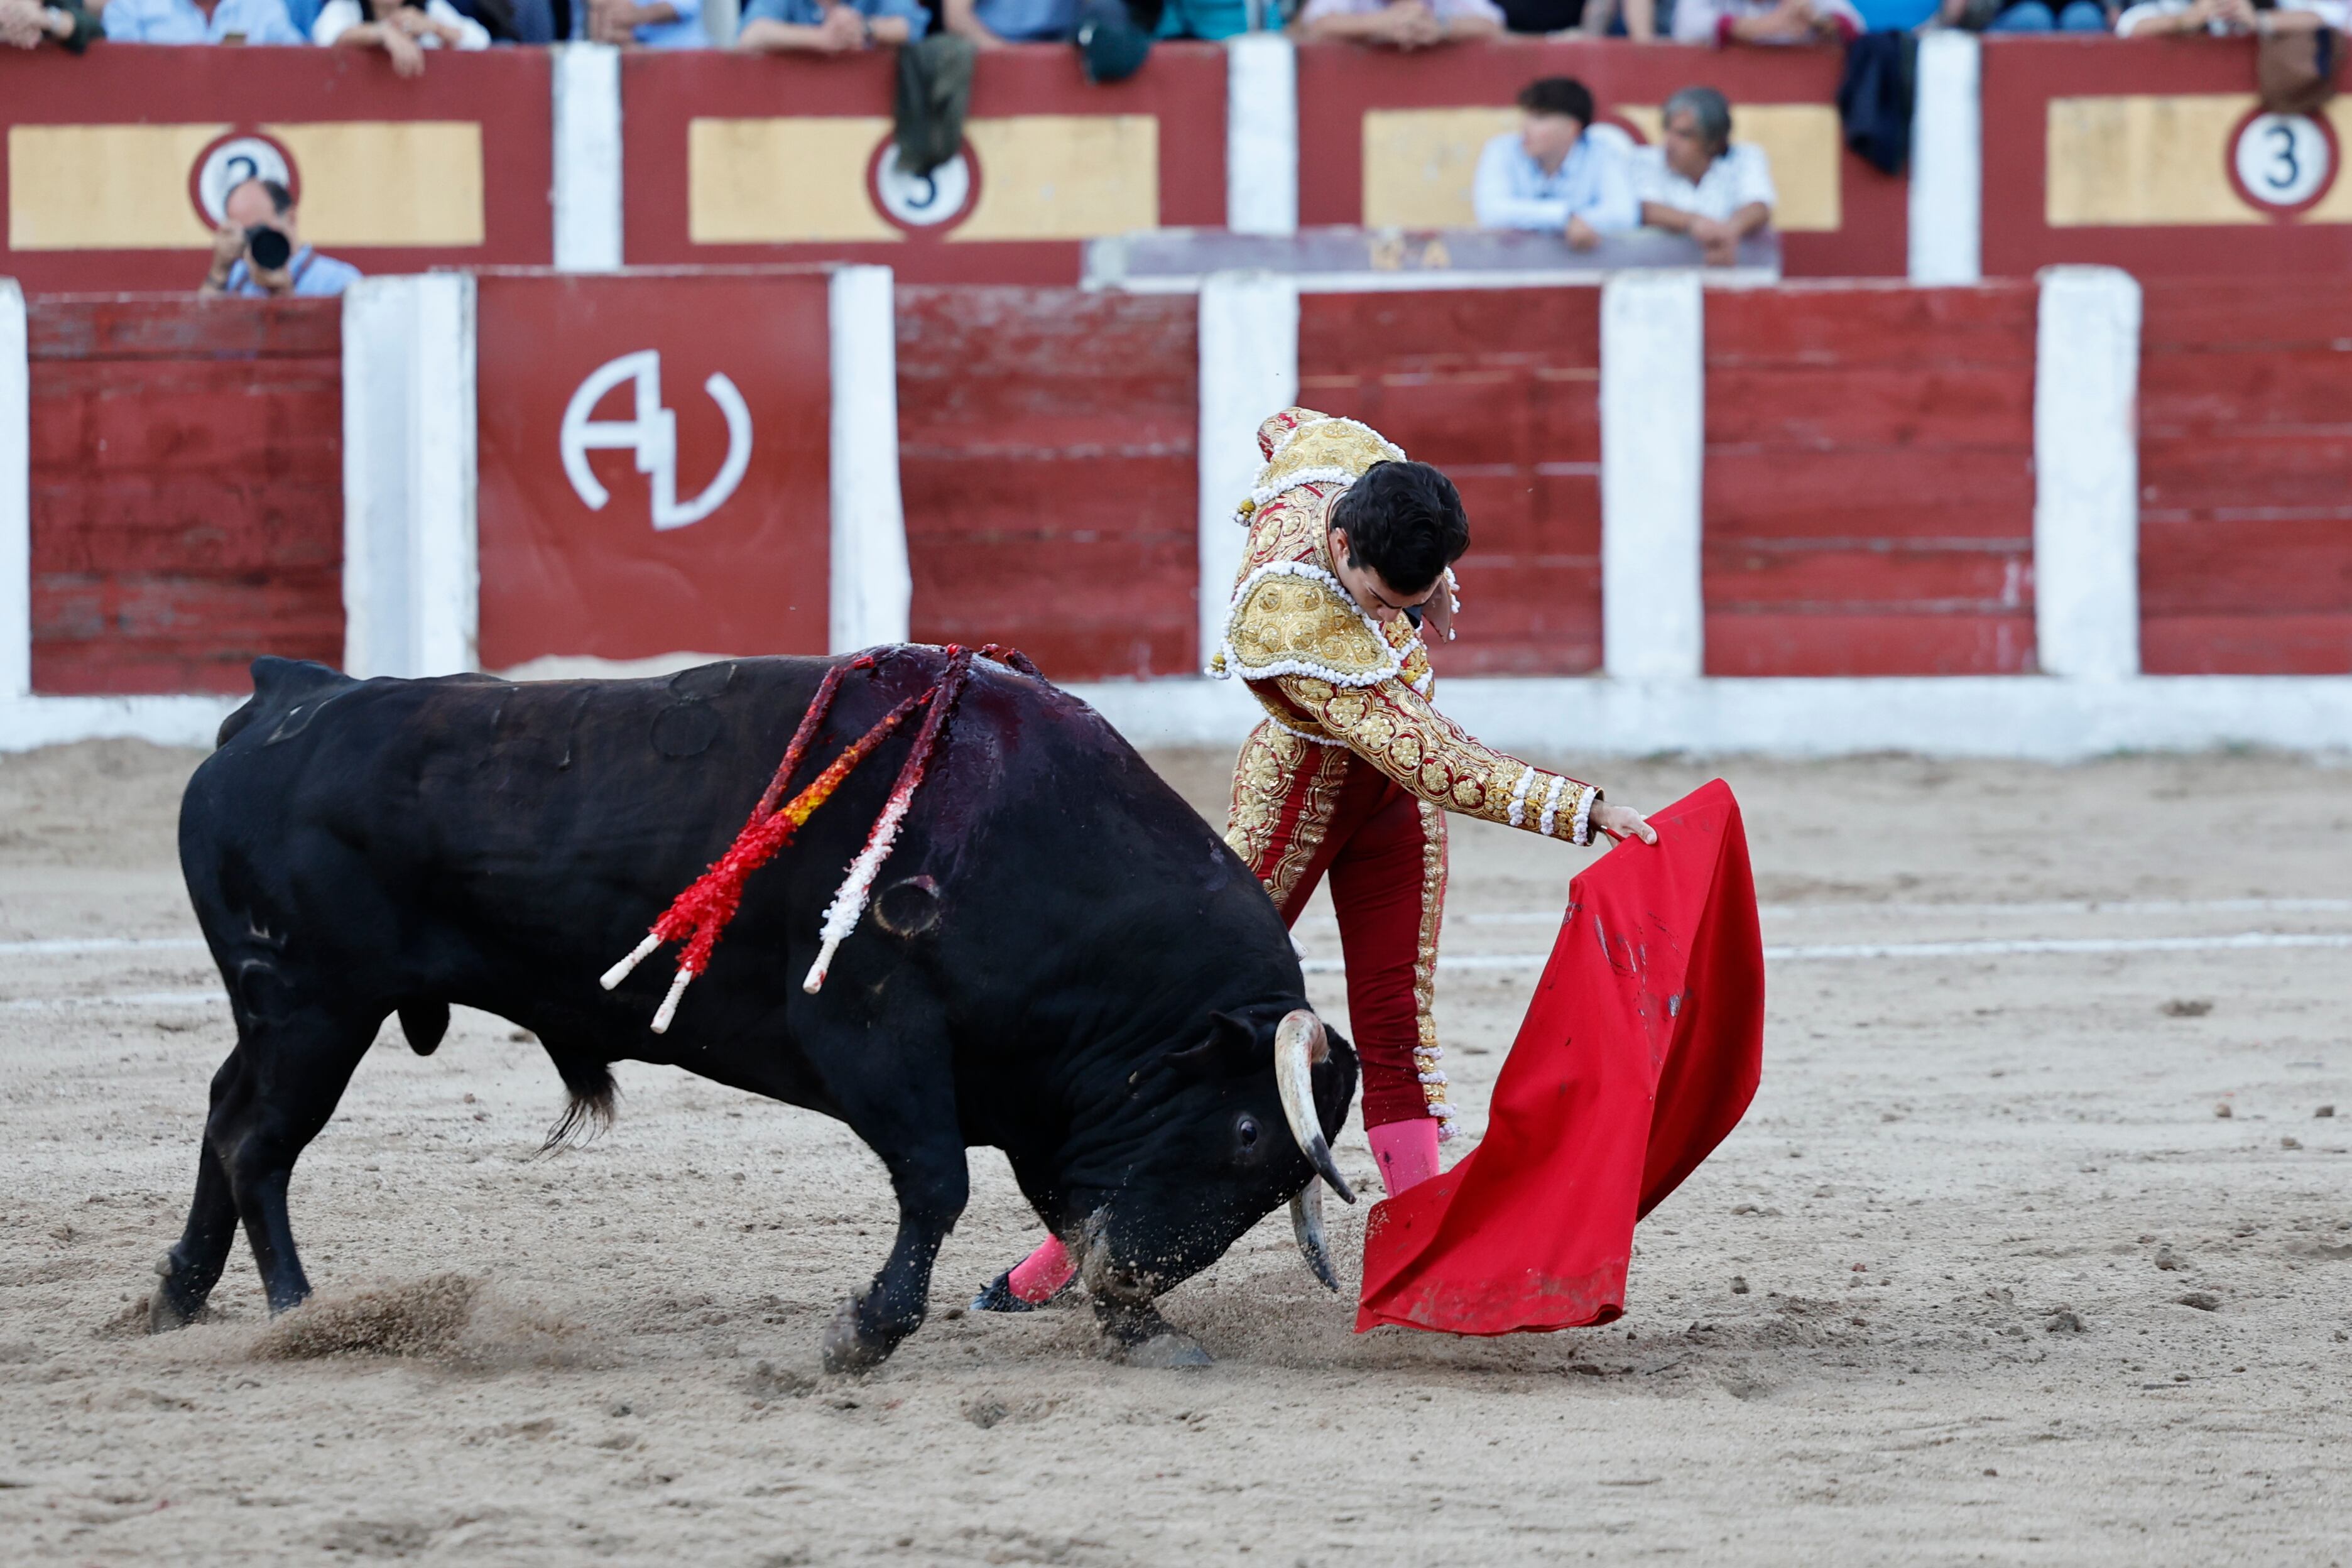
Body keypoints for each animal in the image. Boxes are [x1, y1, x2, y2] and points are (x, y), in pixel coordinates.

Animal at [161, 644, 1364, 1363]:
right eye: (1245, 1127)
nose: (1134, 1280)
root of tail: (287, 697)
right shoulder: (873, 1035)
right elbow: (939, 1183)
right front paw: (866, 1334)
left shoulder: (1033, 1101)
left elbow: (1053, 1201)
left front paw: (1146, 1328)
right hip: (312, 1009)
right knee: (258, 1139)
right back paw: (297, 1311)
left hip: (283, 1019)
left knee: (223, 1117)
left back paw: (176, 1297)